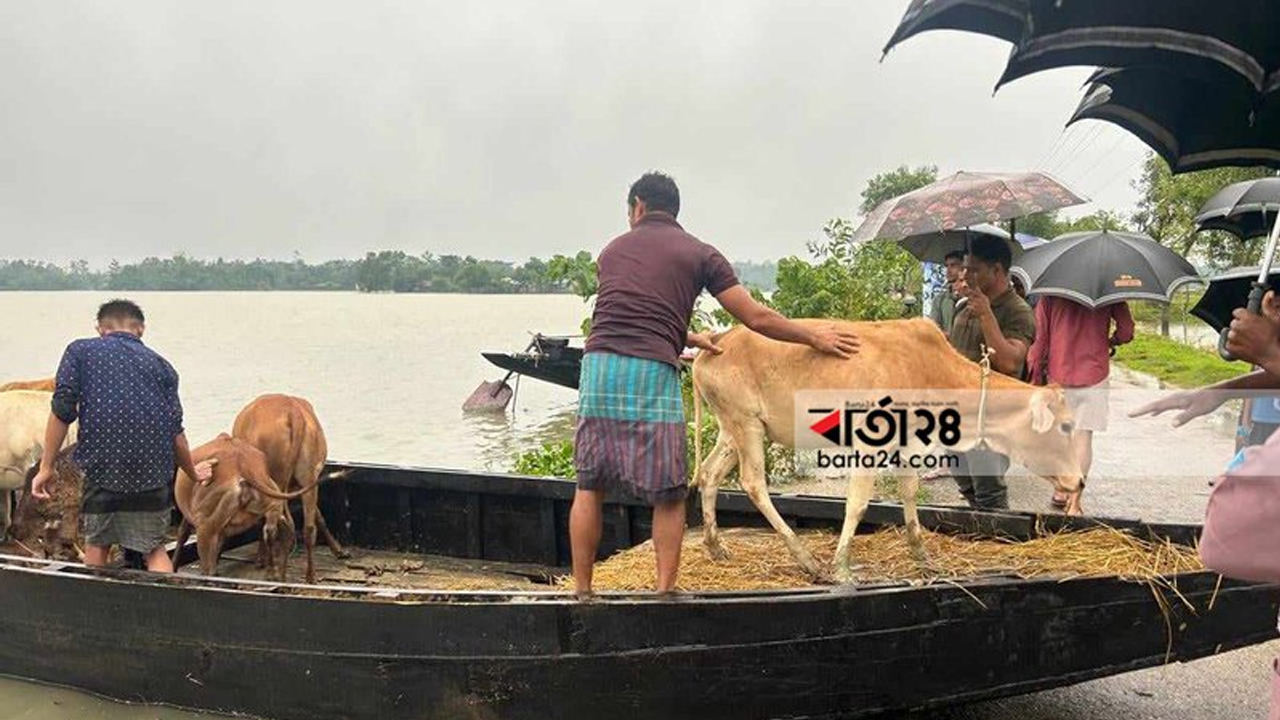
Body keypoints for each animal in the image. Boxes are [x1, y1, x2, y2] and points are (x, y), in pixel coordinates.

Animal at [174, 430, 311, 576]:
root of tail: (243, 466)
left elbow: (183, 534)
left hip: (205, 524)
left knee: (207, 568)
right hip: (271, 499)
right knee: (279, 530)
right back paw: (276, 575)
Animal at [696, 319, 1085, 584]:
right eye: (1065, 426)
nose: (1080, 482)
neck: (931, 368)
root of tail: (718, 341)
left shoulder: (908, 442)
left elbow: (909, 494)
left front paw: (923, 557)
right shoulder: (869, 442)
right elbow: (857, 503)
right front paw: (842, 568)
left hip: (734, 430)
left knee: (709, 474)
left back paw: (716, 547)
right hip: (746, 424)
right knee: (753, 483)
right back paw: (806, 560)